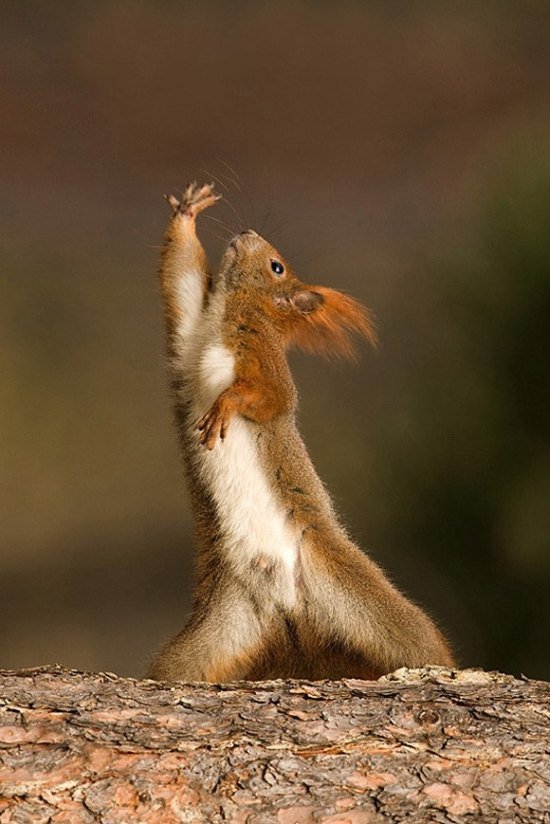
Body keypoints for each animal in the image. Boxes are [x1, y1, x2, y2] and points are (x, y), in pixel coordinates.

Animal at [148, 182, 455, 682]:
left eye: (277, 266)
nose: (247, 233)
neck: (227, 316)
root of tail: (288, 607)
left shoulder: (264, 361)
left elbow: (269, 397)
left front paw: (226, 406)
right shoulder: (189, 331)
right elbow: (181, 281)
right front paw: (188, 214)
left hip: (368, 602)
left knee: (419, 645)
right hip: (211, 636)